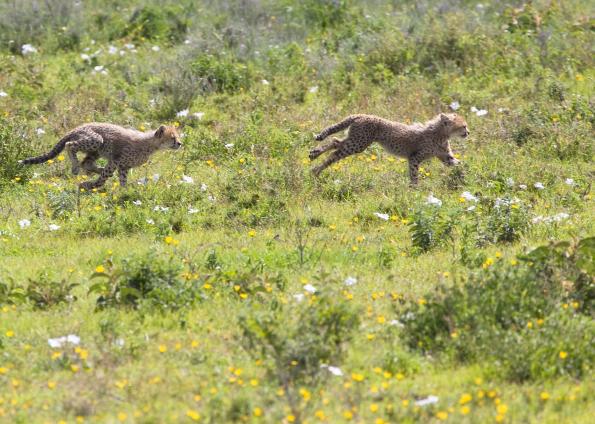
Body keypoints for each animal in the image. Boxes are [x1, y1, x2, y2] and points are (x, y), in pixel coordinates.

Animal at [21, 121, 182, 190]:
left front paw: (125, 193)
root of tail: (78, 127)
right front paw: (89, 185)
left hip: (96, 150)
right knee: (70, 145)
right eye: (172, 138)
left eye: (177, 137)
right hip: (96, 140)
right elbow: (104, 177)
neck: (150, 144)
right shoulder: (115, 161)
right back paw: (75, 167)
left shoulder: (123, 166)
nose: (180, 143)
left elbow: (122, 180)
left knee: (86, 163)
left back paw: (94, 169)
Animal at [312, 113, 470, 185]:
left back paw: (314, 155)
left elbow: (458, 164)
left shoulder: (446, 157)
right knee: (336, 151)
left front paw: (466, 176)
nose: (468, 132)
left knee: (336, 142)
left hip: (356, 141)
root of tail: (362, 115)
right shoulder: (414, 157)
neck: (441, 133)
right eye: (463, 126)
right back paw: (316, 169)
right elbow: (414, 174)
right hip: (358, 144)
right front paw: (414, 190)